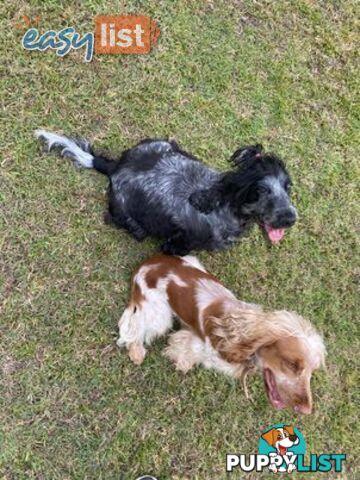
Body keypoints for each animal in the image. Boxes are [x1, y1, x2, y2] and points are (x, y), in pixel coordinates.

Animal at [35, 129, 296, 253]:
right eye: (260, 190)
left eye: (287, 186)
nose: (291, 218)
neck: (219, 202)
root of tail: (115, 166)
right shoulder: (179, 244)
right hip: (133, 224)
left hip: (163, 142)